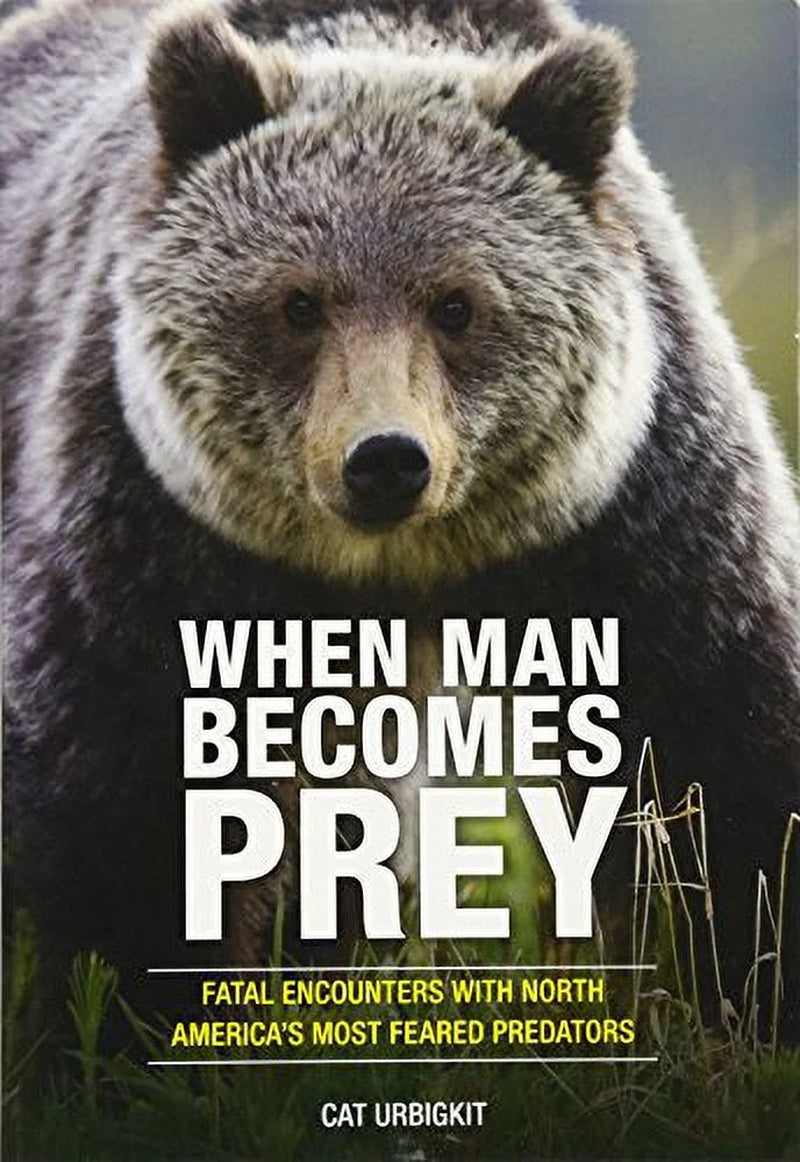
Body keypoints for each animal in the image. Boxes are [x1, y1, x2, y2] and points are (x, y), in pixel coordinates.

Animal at [2, 0, 798, 1039]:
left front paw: (746, 993)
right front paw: (128, 1021)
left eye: (456, 303)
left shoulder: (633, 521)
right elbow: (130, 796)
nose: (385, 457)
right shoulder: (150, 527)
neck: (396, 572)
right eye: (299, 302)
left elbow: (716, 753)